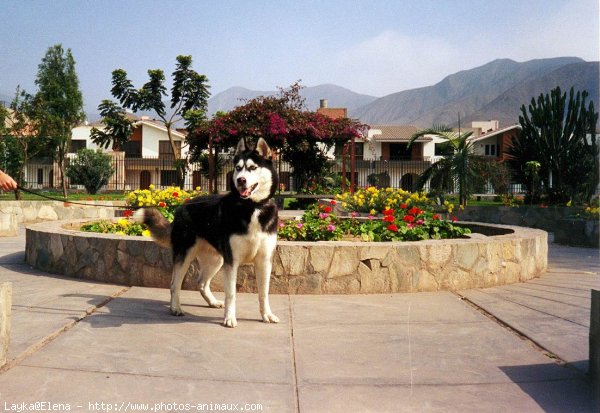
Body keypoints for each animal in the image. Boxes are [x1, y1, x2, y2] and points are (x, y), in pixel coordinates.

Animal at [136, 138, 278, 328]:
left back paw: (212, 302)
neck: (253, 207)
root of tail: (181, 207)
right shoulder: (232, 262)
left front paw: (267, 315)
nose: (240, 180)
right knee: (174, 284)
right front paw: (230, 318)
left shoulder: (264, 261)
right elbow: (231, 294)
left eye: (253, 167)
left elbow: (264, 293)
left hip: (216, 260)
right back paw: (176, 308)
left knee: (202, 283)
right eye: (238, 167)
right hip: (186, 256)